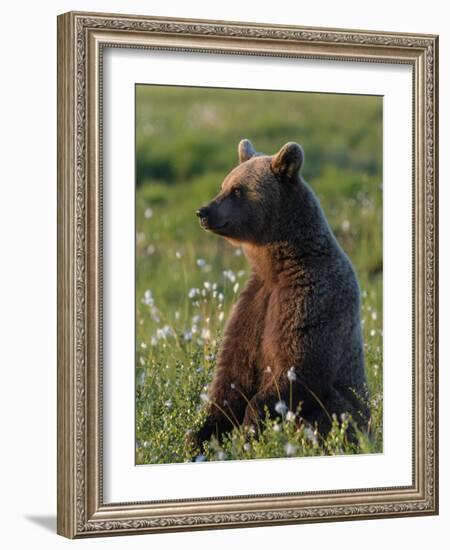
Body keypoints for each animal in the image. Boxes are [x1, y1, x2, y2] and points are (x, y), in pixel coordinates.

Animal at [192, 140, 370, 450]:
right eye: (223, 184)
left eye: (237, 190)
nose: (204, 212)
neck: (277, 267)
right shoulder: (256, 303)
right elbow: (233, 374)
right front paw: (199, 435)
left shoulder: (310, 298)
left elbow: (297, 368)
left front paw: (249, 431)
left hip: (347, 409)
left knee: (328, 414)